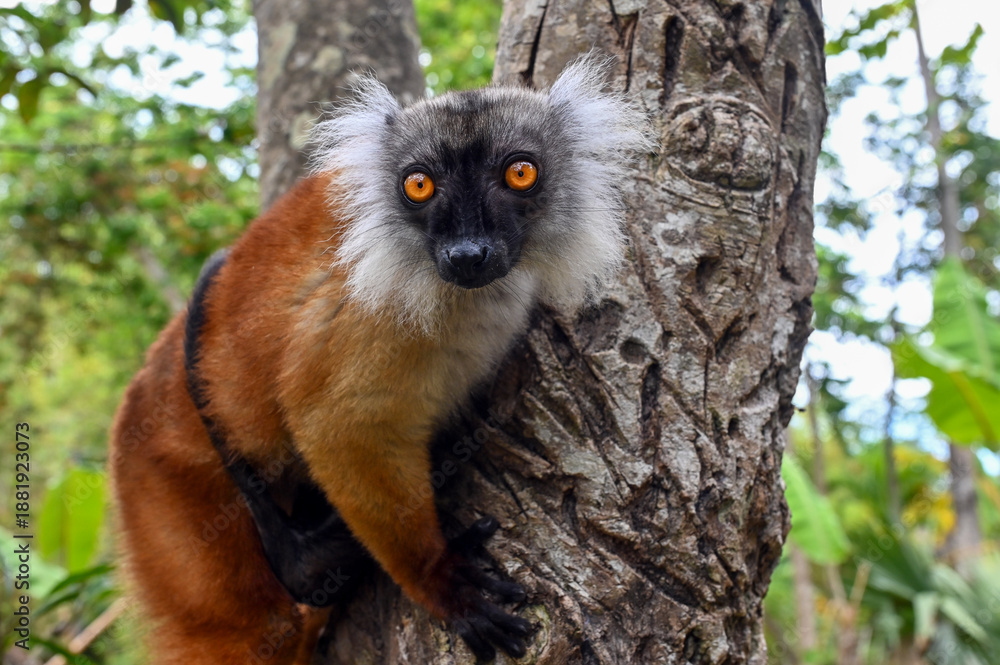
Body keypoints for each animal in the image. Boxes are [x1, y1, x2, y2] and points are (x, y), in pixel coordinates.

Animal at [109, 54, 650, 664]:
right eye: (419, 185)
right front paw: (442, 580)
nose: (467, 254)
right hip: (170, 492)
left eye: (520, 173)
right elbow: (341, 425)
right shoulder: (371, 313)